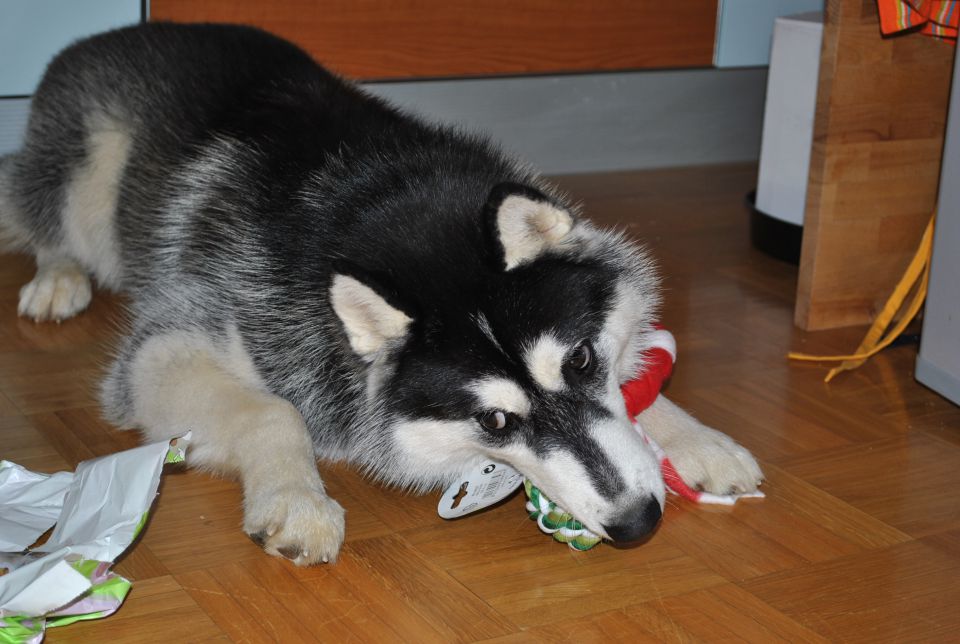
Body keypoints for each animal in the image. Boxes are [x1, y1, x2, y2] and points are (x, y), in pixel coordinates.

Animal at [1, 22, 764, 564]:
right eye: (494, 423)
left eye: (580, 361)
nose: (638, 522)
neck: (369, 199)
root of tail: (113, 34)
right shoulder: (170, 343)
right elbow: (274, 410)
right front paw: (297, 497)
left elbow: (635, 386)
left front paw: (693, 435)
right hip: (85, 175)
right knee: (42, 218)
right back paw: (58, 278)